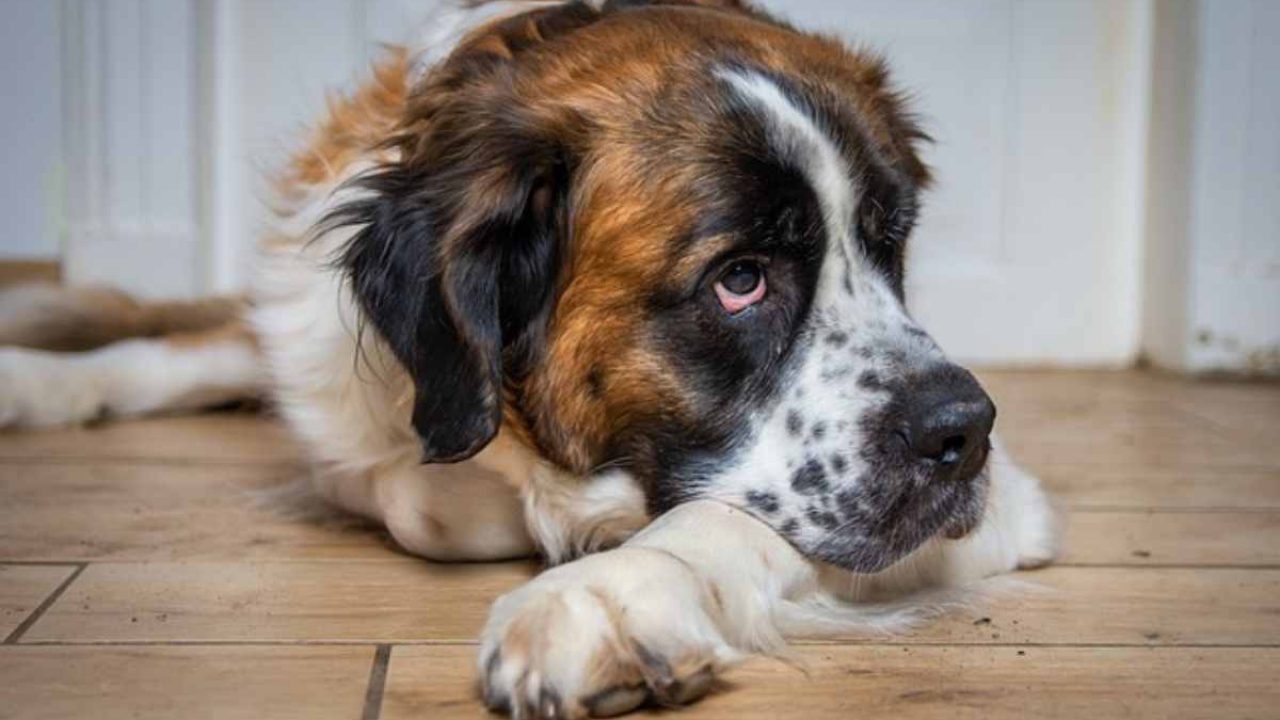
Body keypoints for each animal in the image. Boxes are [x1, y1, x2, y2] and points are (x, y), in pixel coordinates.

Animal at [0, 2, 1059, 712]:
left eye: (889, 242)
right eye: (741, 280)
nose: (966, 432)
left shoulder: (1008, 506)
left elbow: (711, 521)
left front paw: (605, 595)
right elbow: (415, 487)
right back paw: (34, 380)